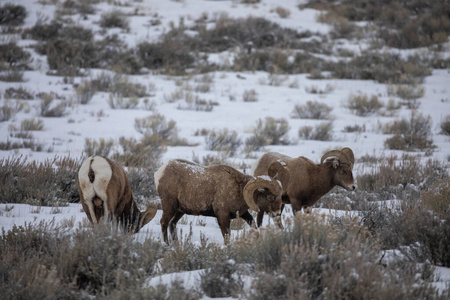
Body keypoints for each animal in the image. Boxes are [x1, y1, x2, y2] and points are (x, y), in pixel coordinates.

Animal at [153, 159, 284, 244]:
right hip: (169, 206)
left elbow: (253, 224)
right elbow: (227, 236)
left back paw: (176, 245)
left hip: (180, 211)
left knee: (172, 224)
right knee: (164, 223)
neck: (238, 189)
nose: (277, 214)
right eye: (270, 197)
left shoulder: (242, 214)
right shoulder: (223, 216)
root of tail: (160, 172)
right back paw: (167, 245)